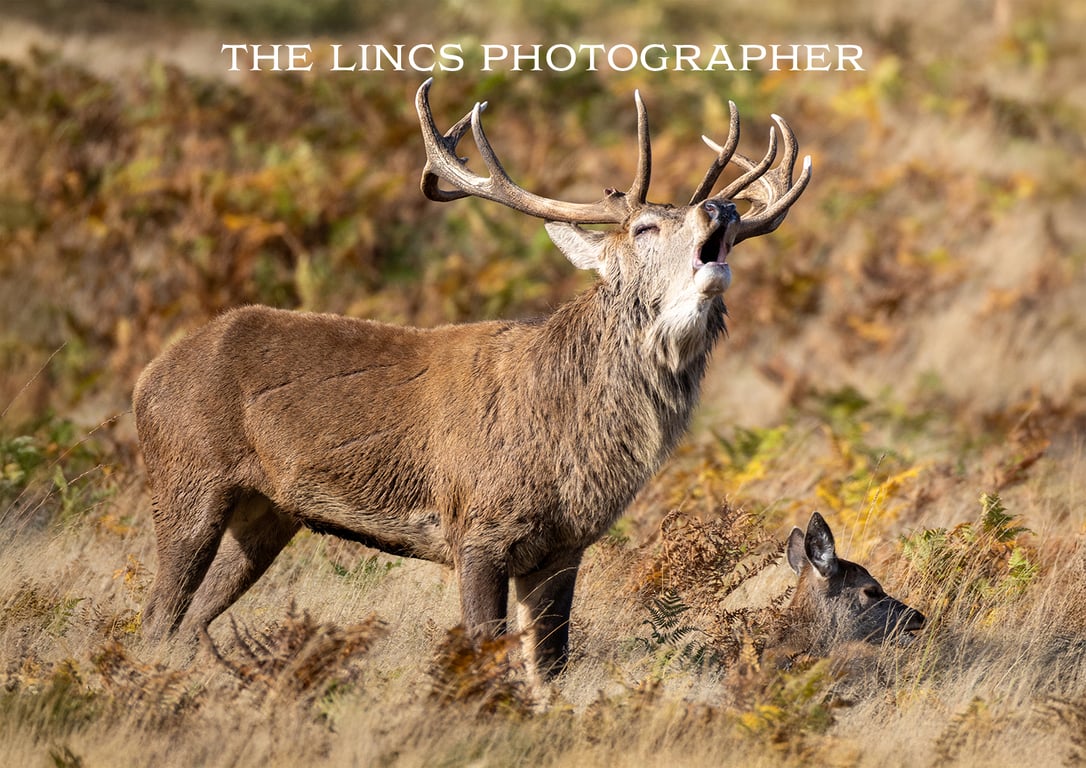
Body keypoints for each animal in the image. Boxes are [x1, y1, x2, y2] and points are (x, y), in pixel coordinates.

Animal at [133, 78, 812, 682]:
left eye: (730, 228)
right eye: (645, 227)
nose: (721, 207)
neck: (564, 437)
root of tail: (147, 376)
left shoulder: (564, 547)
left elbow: (551, 667)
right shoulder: (476, 527)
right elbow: (485, 652)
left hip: (267, 512)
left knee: (192, 620)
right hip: (187, 478)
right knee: (157, 617)